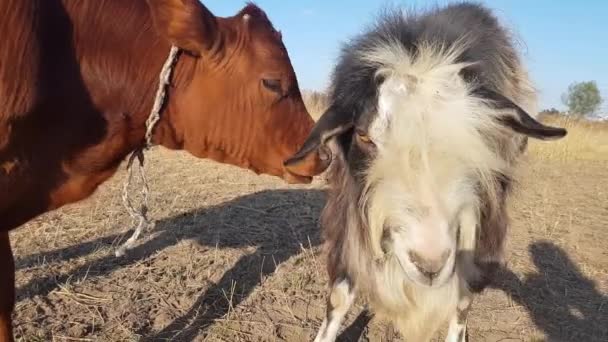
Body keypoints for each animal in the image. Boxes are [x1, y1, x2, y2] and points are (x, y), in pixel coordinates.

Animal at [284, 3, 564, 342]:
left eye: (479, 134)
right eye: (364, 135)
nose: (429, 264)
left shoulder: (481, 227)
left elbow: (462, 299)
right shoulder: (346, 212)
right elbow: (339, 295)